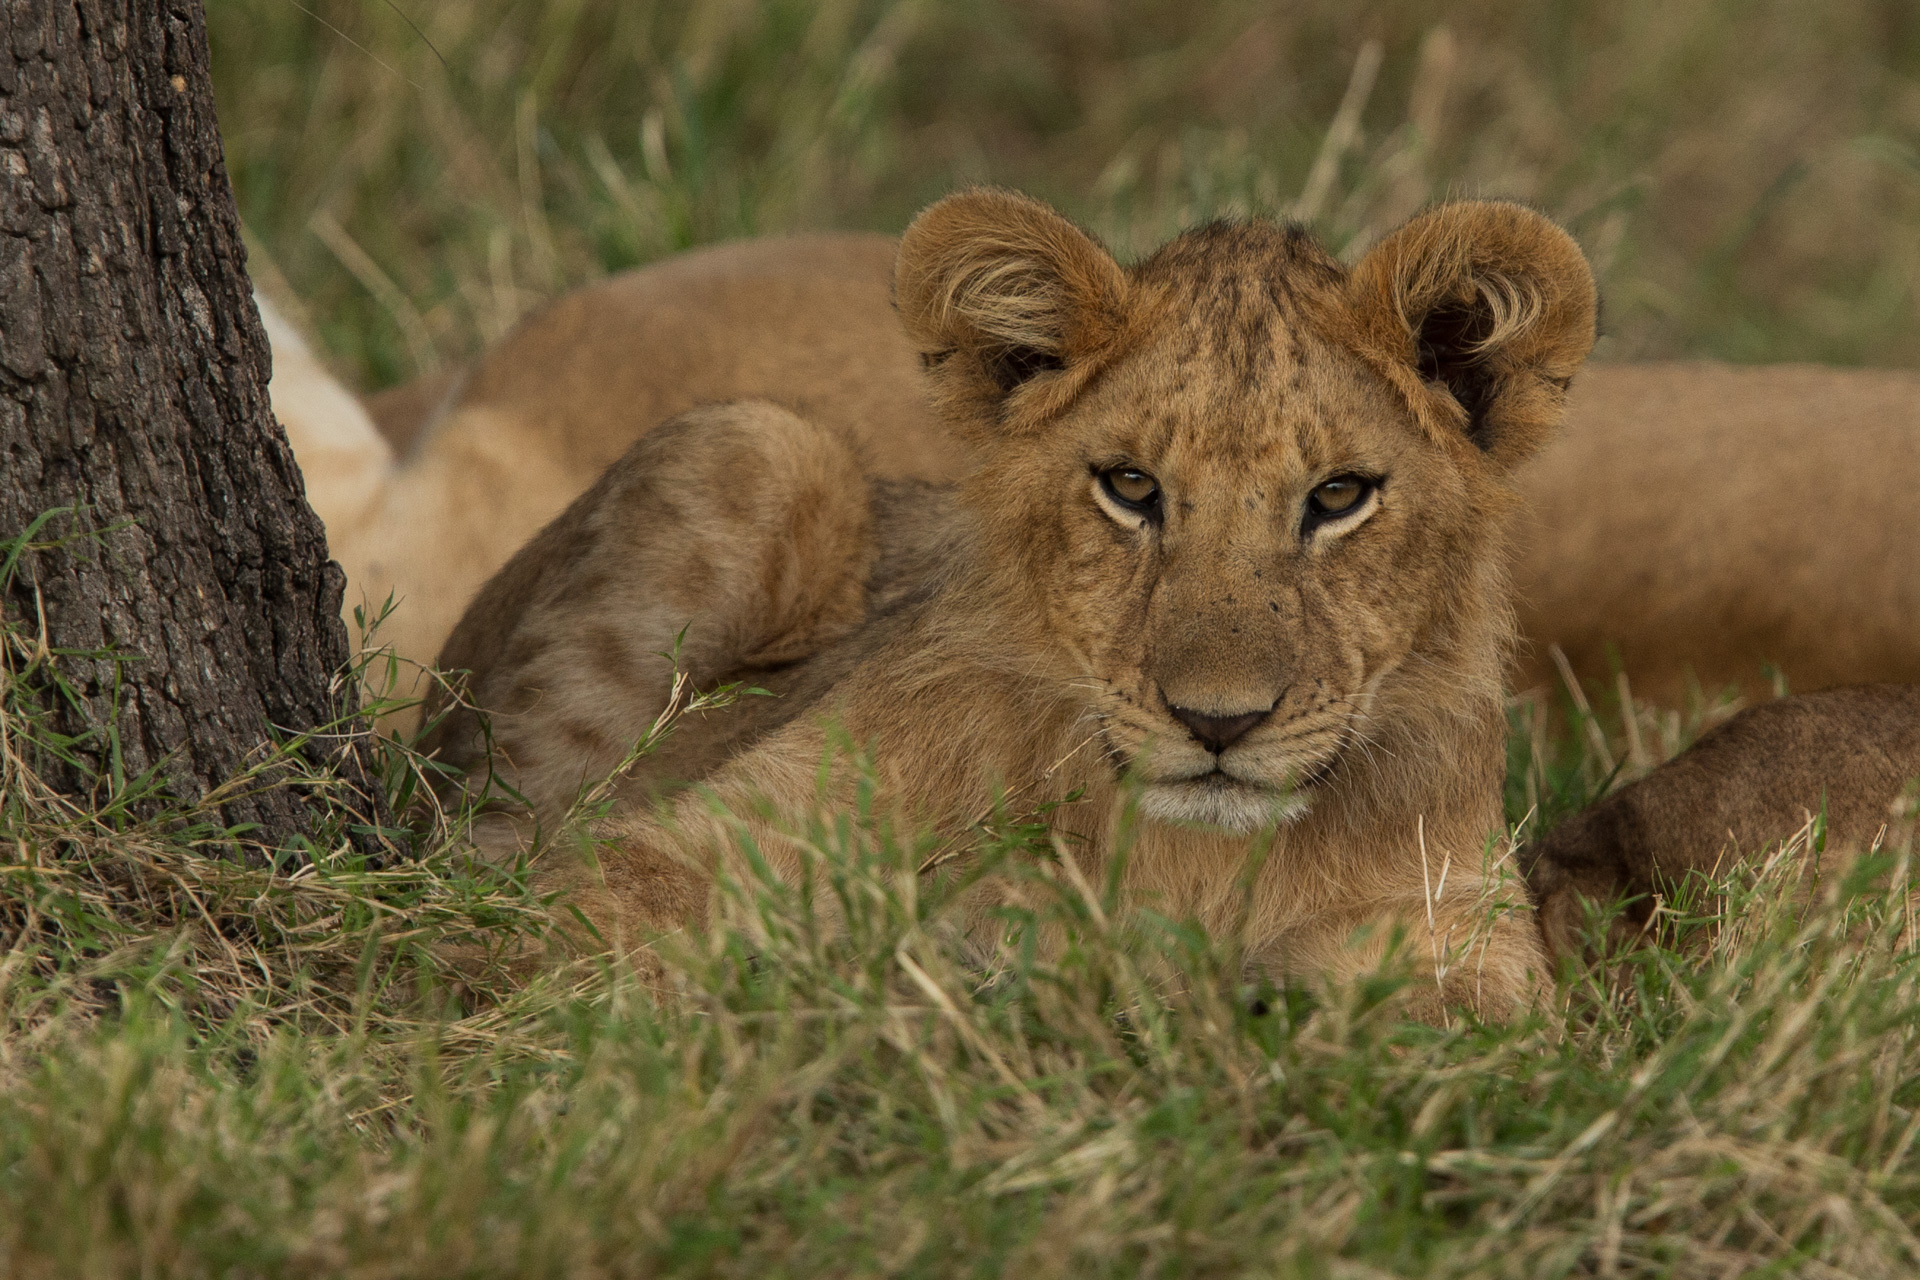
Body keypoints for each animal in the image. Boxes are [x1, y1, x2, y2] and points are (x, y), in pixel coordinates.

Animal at [428, 185, 1597, 1020]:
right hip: (759, 443)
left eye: (1340, 496)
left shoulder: (1463, 932)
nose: (1217, 723)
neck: (1193, 855)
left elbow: (1460, 1031)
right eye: (1130, 487)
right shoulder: (693, 840)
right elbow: (565, 928)